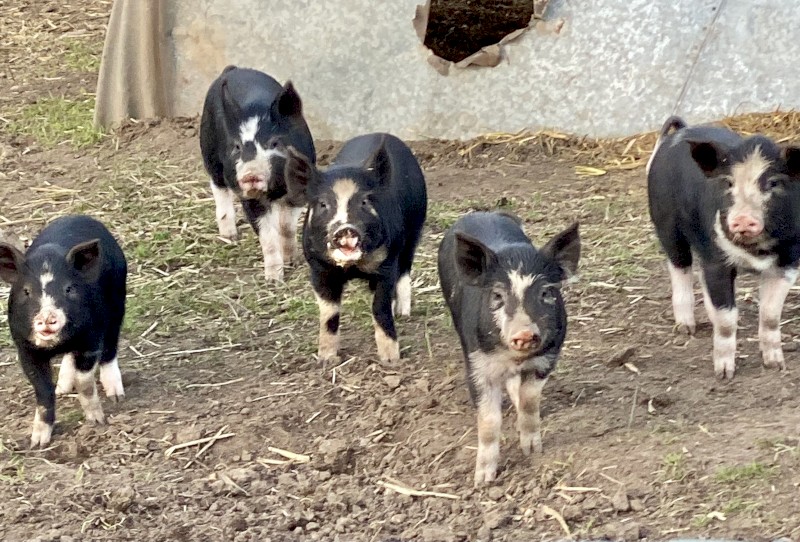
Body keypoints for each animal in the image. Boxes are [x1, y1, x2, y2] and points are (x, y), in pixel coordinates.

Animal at [0, 215, 127, 447]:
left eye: (68, 289)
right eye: (26, 291)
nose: (47, 317)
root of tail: (80, 216)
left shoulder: (90, 340)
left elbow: (84, 381)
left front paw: (97, 421)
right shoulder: (25, 349)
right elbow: (43, 392)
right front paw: (38, 442)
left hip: (117, 302)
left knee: (110, 347)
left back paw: (115, 395)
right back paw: (63, 389)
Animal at [200, 65, 316, 281]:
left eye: (275, 142)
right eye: (237, 146)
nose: (249, 174)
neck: (276, 188)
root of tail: (233, 69)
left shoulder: (300, 191)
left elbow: (287, 227)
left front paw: (293, 262)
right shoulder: (250, 199)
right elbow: (267, 236)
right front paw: (274, 280)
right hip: (209, 151)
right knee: (219, 188)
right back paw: (230, 237)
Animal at [283, 133, 427, 362]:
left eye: (365, 202)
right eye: (323, 204)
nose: (345, 228)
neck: (352, 267)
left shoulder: (386, 265)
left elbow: (380, 308)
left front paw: (391, 360)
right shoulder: (319, 269)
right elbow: (329, 314)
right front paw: (326, 359)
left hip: (414, 228)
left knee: (405, 268)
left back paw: (403, 313)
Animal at [437, 211, 580, 485]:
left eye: (546, 292)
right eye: (497, 296)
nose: (524, 333)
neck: (515, 359)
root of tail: (481, 212)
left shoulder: (547, 359)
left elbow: (530, 400)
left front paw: (533, 451)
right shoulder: (478, 365)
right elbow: (489, 421)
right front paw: (483, 480)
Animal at [647, 116, 800, 379]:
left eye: (773, 183)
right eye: (728, 182)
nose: (742, 219)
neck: (754, 252)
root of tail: (680, 132)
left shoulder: (789, 261)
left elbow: (770, 314)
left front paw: (776, 366)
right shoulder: (717, 261)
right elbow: (727, 320)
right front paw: (724, 375)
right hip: (666, 225)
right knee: (680, 268)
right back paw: (686, 328)